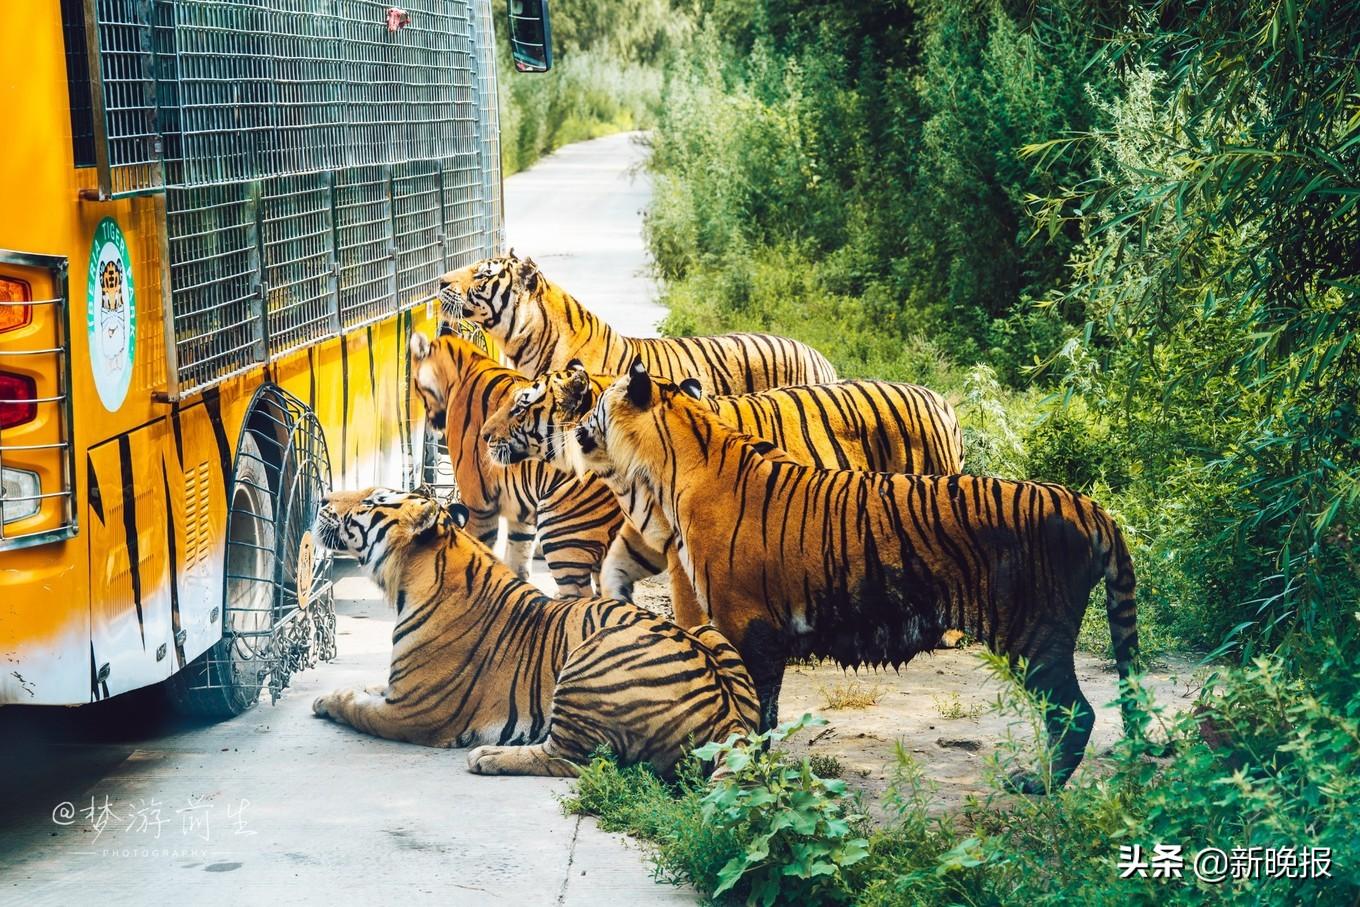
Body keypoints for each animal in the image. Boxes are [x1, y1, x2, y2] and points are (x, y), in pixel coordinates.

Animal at [311, 486, 767, 777]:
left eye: (370, 501)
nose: (321, 499)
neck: (415, 574)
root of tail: (729, 719)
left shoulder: (411, 711)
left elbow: (358, 708)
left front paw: (328, 700)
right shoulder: (400, 691)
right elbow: (371, 688)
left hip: (590, 656)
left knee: (575, 760)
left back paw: (489, 757)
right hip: (709, 634)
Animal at [405, 327, 622, 595]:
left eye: (415, 384)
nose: (432, 423)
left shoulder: (478, 505)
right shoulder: (523, 511)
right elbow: (518, 556)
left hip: (561, 531)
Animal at [478, 358, 968, 628]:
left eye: (521, 405)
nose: (483, 435)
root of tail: (942, 401)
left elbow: (684, 609)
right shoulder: (643, 534)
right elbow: (615, 576)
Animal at [568, 358, 1153, 788]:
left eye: (595, 402)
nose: (575, 430)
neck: (675, 459)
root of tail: (1090, 507)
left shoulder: (748, 627)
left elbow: (756, 712)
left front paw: (743, 776)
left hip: (1035, 634)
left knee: (1077, 714)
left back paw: (1037, 784)